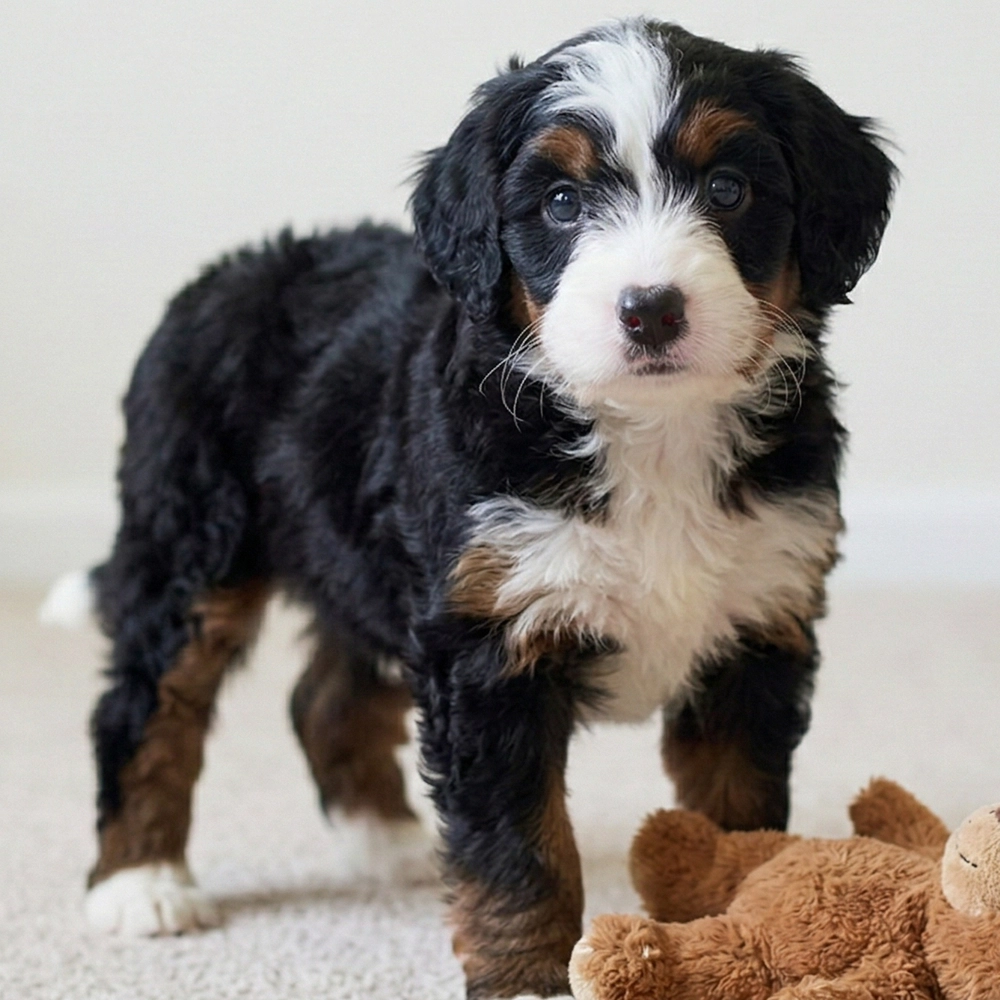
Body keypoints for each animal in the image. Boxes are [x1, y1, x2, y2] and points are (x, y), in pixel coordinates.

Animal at [80, 17, 895, 999]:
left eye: (729, 189)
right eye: (561, 203)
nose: (651, 310)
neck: (651, 435)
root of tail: (237, 268)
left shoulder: (754, 625)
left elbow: (735, 816)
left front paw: (730, 935)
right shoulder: (491, 645)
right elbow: (518, 845)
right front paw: (529, 976)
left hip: (371, 556)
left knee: (325, 694)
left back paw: (384, 840)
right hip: (195, 540)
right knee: (148, 703)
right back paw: (143, 882)